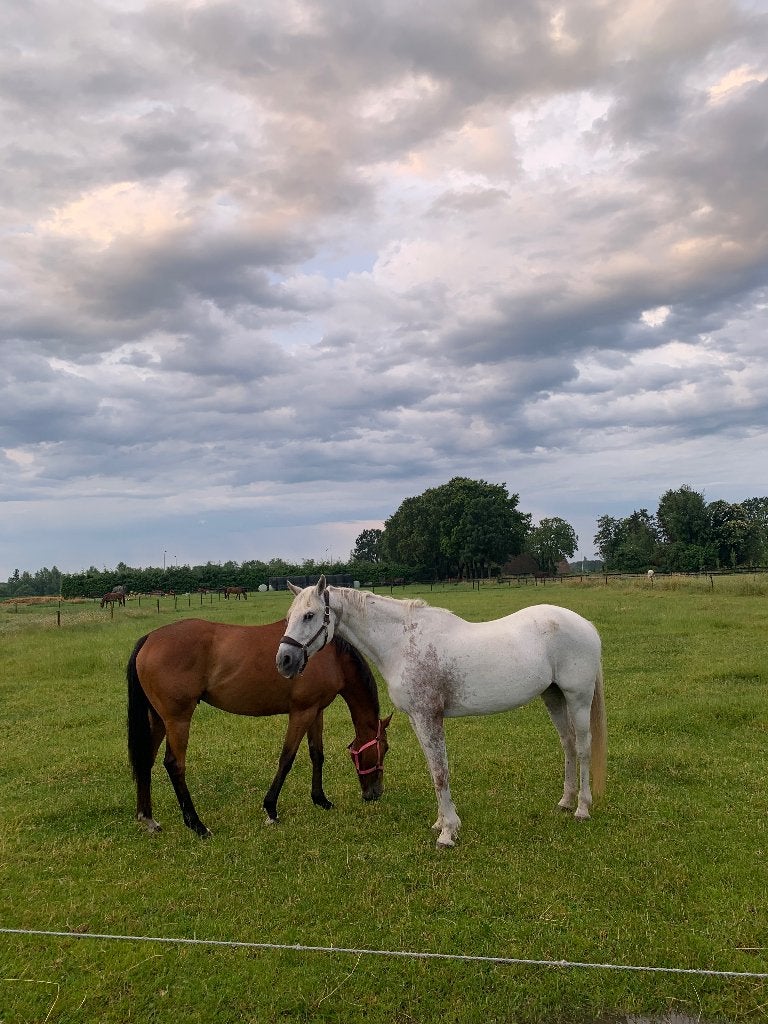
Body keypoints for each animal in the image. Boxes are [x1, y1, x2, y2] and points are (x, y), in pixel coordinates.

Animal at [127, 617, 391, 837]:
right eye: (386, 749)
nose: (375, 793)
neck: (329, 655)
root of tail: (150, 638)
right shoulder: (301, 712)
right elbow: (286, 759)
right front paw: (271, 809)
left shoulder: (316, 711)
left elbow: (317, 754)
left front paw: (320, 799)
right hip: (178, 719)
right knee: (174, 764)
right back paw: (197, 825)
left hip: (158, 719)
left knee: (145, 760)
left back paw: (148, 819)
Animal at [277, 577, 606, 848]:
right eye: (289, 617)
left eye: (309, 615)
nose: (284, 660)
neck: (402, 642)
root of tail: (586, 625)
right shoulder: (417, 719)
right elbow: (433, 768)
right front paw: (440, 823)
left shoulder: (428, 716)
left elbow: (440, 772)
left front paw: (448, 833)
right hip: (553, 697)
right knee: (567, 745)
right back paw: (565, 801)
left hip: (577, 698)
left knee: (582, 747)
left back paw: (582, 808)